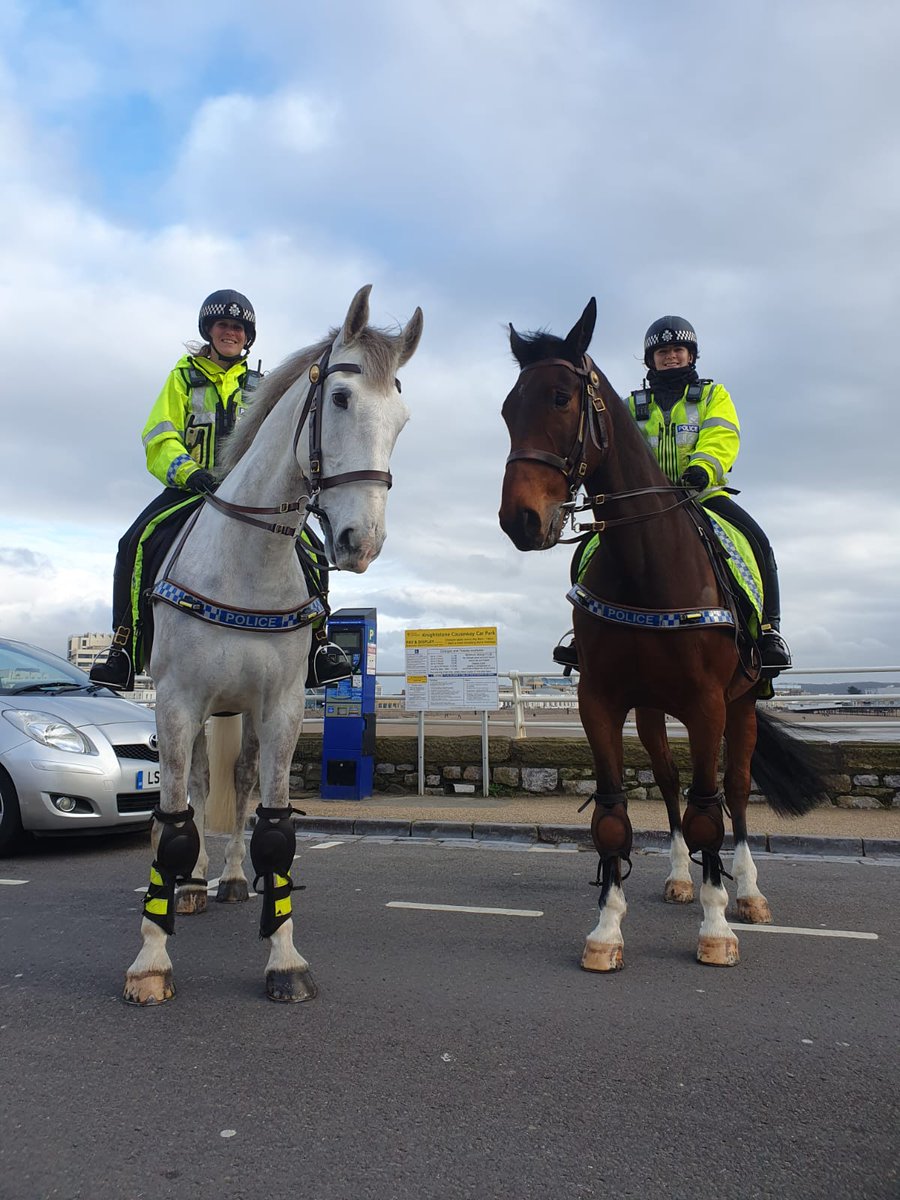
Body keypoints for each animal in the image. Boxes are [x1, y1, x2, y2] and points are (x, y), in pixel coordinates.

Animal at [121, 283, 424, 1003]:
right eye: (340, 399)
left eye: (400, 419)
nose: (362, 542)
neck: (247, 559)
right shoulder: (176, 703)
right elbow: (173, 826)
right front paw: (152, 957)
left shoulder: (282, 706)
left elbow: (276, 827)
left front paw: (284, 957)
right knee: (197, 789)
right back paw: (194, 884)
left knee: (235, 781)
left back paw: (230, 878)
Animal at [496, 300, 830, 974]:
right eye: (508, 408)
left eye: (562, 397)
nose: (520, 518)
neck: (646, 564)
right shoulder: (601, 702)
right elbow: (613, 817)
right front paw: (606, 930)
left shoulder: (706, 705)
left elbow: (710, 814)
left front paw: (716, 925)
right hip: (652, 712)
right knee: (673, 787)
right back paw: (679, 878)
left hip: (741, 707)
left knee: (733, 794)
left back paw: (747, 892)